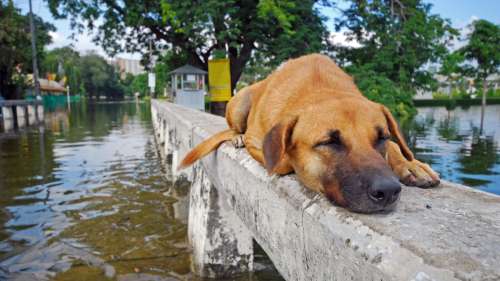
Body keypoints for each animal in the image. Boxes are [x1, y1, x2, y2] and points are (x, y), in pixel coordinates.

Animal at [179, 53, 438, 212]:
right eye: (329, 142)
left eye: (382, 138)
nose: (388, 190)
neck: (322, 89)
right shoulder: (259, 141)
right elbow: (281, 161)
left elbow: (396, 146)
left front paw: (412, 164)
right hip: (241, 100)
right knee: (234, 128)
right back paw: (237, 136)